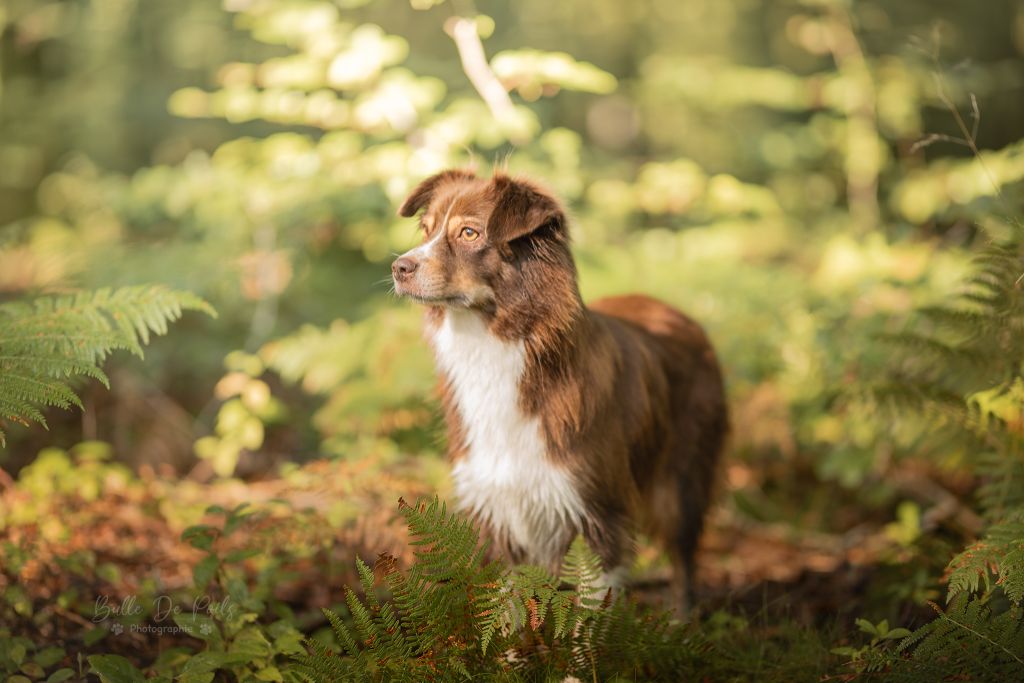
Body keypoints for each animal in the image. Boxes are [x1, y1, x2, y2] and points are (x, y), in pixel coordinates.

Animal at [391, 167, 729, 610]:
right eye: (427, 229)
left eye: (469, 233)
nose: (398, 267)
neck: (495, 349)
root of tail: (673, 309)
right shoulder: (501, 511)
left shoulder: (599, 512)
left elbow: (589, 620)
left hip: (681, 477)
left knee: (683, 554)